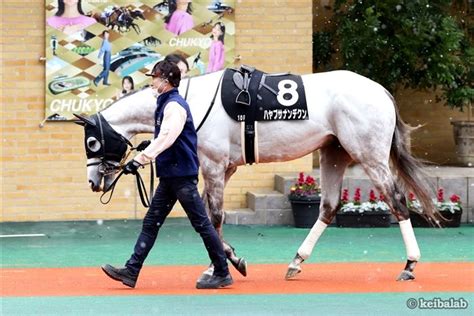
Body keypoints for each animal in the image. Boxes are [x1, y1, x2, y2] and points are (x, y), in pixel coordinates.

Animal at [76, 69, 438, 282]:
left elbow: (213, 217)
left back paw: (410, 265)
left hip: (369, 155)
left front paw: (219, 266)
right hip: (334, 152)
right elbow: (208, 217)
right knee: (328, 207)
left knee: (397, 200)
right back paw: (296, 261)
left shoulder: (213, 164)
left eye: (92, 141)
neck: (189, 100)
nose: (93, 182)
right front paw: (230, 259)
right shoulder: (225, 167)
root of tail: (382, 91)